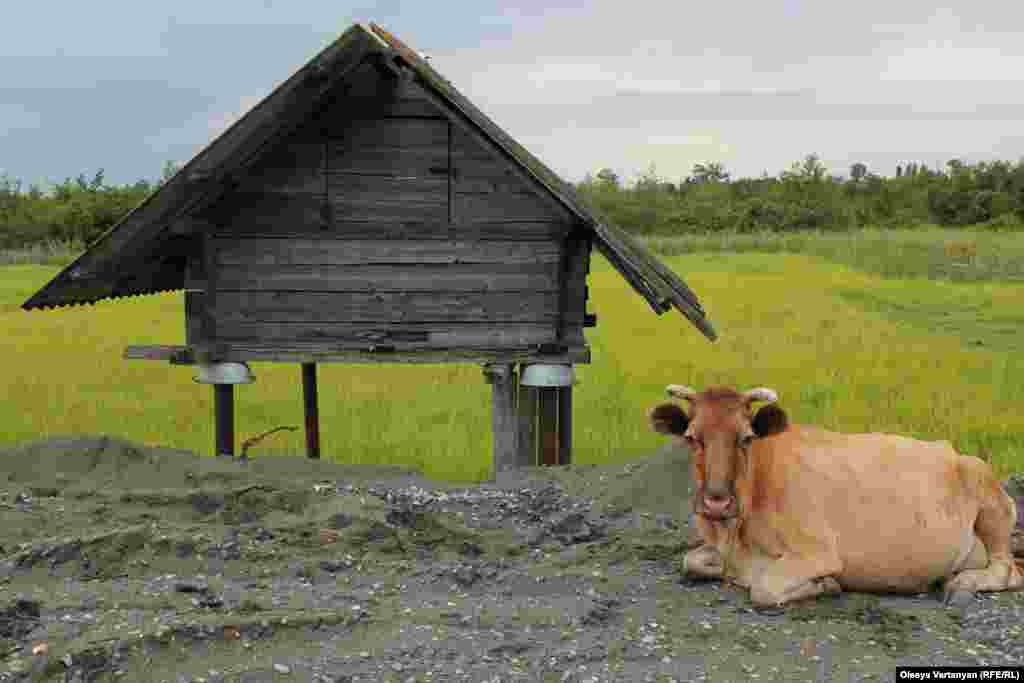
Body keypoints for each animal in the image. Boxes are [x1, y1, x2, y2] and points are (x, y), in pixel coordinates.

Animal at [647, 385, 1024, 610]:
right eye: (692, 438)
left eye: (746, 438)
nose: (716, 501)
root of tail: (953, 451)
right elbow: (691, 561)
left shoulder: (817, 550)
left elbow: (764, 588)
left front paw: (825, 585)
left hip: (989, 498)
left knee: (1007, 568)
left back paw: (963, 583)